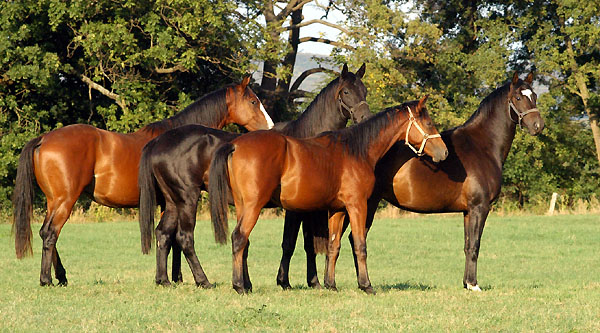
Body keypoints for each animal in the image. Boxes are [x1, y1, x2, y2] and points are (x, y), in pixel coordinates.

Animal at [12, 76, 274, 284]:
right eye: (253, 102)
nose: (271, 127)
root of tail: (44, 138)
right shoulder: (171, 202)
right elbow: (174, 239)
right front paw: (177, 277)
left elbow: (169, 239)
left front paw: (173, 277)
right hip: (65, 200)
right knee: (51, 234)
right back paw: (47, 279)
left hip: (54, 201)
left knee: (46, 233)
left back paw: (61, 276)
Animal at [139, 63, 372, 286]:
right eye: (346, 92)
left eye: (364, 91)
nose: (365, 117)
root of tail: (158, 142)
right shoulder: (295, 210)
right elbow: (290, 243)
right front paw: (288, 281)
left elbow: (306, 244)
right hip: (188, 198)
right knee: (184, 238)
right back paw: (203, 280)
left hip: (172, 202)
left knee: (163, 234)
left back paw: (164, 280)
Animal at [209, 95, 448, 294]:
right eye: (428, 123)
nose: (444, 152)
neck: (356, 151)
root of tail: (235, 145)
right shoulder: (357, 206)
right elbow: (360, 245)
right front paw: (366, 285)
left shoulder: (337, 210)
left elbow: (333, 246)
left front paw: (331, 284)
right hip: (253, 206)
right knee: (239, 238)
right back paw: (239, 286)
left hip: (243, 206)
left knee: (243, 243)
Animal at [278, 70, 548, 290]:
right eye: (518, 98)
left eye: (534, 95)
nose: (537, 125)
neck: (482, 145)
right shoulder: (479, 208)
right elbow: (474, 246)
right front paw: (473, 284)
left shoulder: (468, 211)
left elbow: (467, 245)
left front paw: (466, 282)